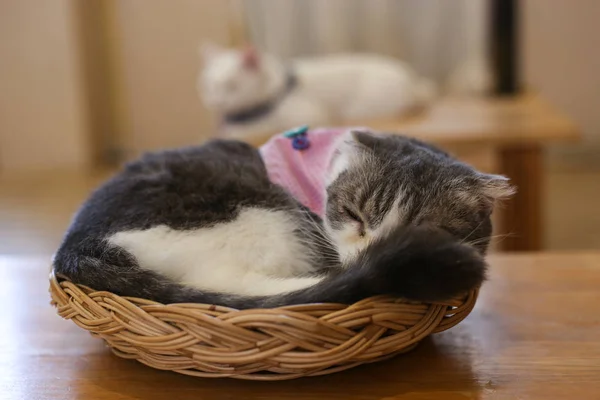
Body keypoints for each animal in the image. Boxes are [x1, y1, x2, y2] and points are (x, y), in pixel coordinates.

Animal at [198, 43, 436, 141]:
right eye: (207, 85)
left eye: (231, 86)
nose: (214, 102)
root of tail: (412, 80)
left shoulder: (309, 114)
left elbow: (257, 126)